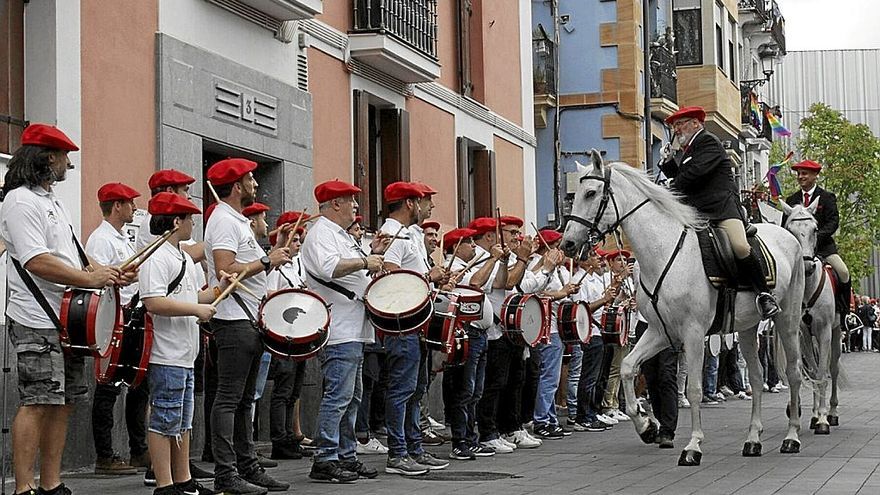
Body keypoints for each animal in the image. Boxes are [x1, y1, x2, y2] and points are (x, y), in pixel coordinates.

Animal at [564, 151, 804, 464]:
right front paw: (646, 425)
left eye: (591, 193)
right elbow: (628, 367)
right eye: (574, 195)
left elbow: (693, 389)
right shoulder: (659, 331)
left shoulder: (692, 333)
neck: (665, 250)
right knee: (756, 375)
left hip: (788, 321)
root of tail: (789, 237)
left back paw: (792, 437)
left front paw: (692, 446)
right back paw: (753, 440)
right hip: (748, 328)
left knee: (794, 373)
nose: (568, 243)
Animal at [780, 202, 844, 434]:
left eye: (815, 229)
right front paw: (816, 416)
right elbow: (814, 371)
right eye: (790, 230)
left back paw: (833, 413)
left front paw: (824, 419)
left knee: (833, 368)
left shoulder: (824, 332)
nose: (806, 265)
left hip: (836, 332)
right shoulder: (804, 334)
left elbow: (823, 373)